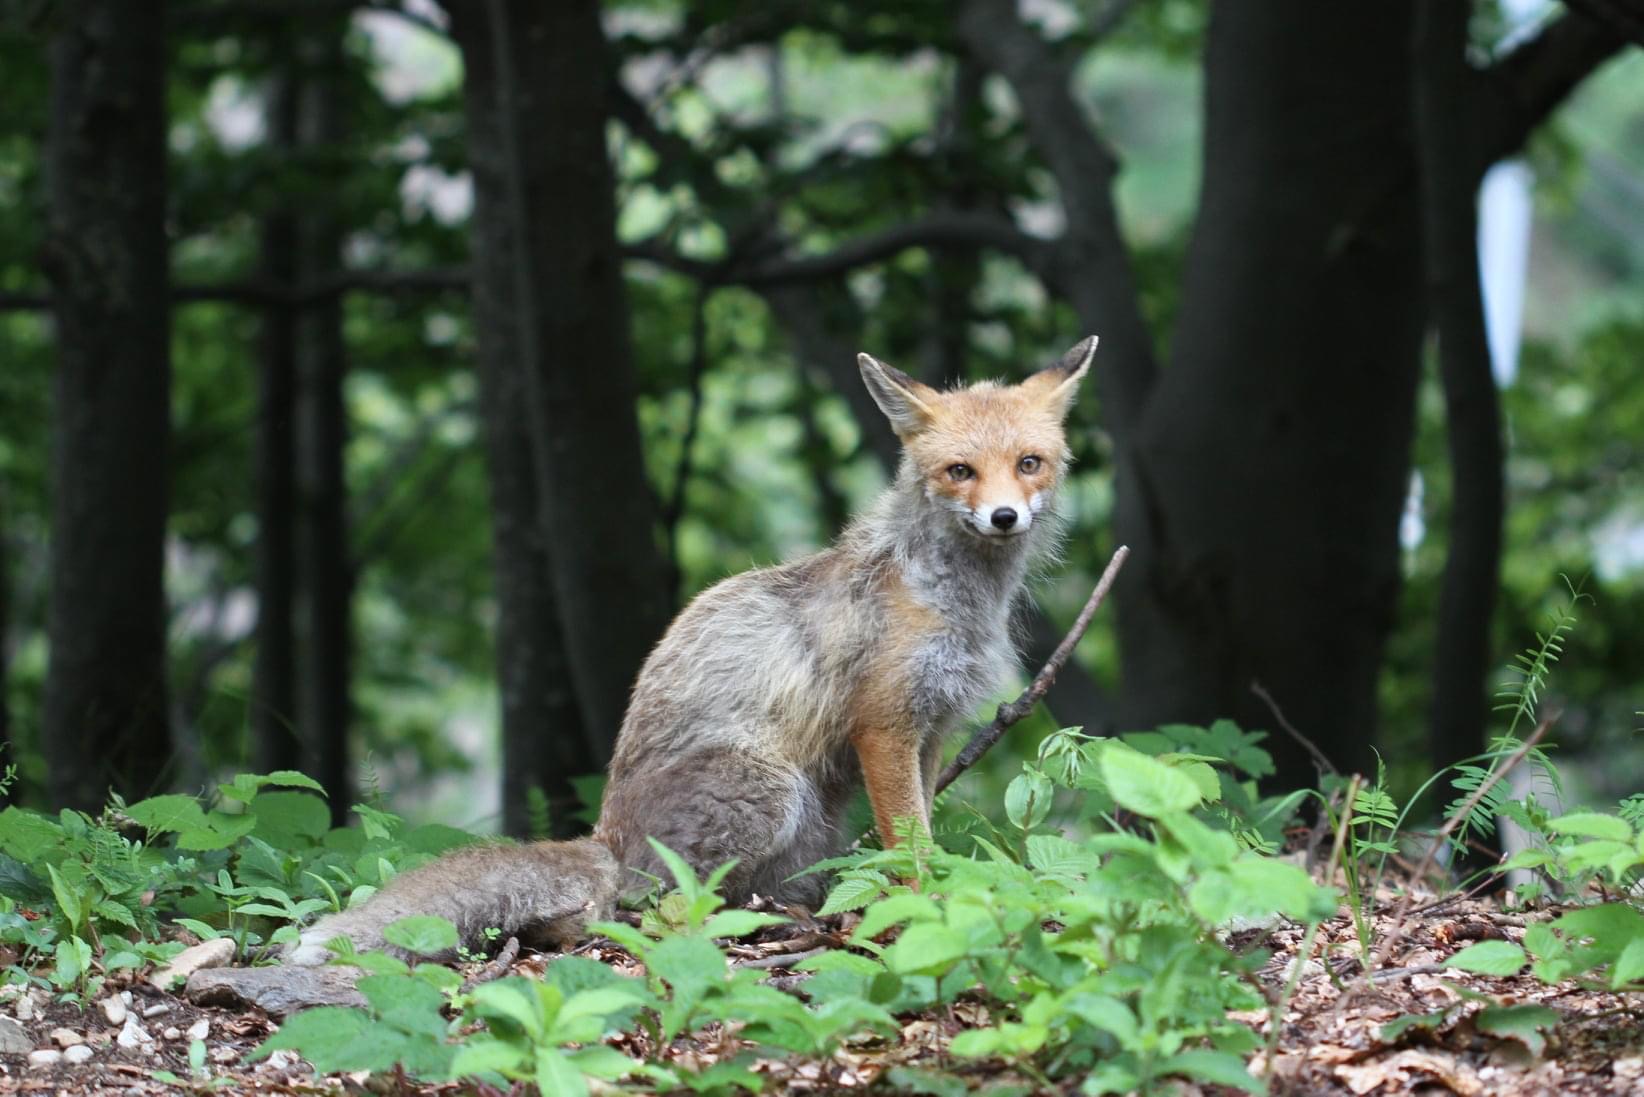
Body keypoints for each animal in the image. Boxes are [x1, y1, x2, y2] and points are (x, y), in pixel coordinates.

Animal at [284, 336, 1097, 965]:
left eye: (1029, 463)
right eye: (961, 471)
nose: (1004, 517)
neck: (950, 597)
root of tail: (607, 834)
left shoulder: (932, 729)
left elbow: (922, 828)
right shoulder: (884, 725)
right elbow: (911, 846)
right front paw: (932, 907)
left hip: (810, 832)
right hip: (770, 790)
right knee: (637, 906)